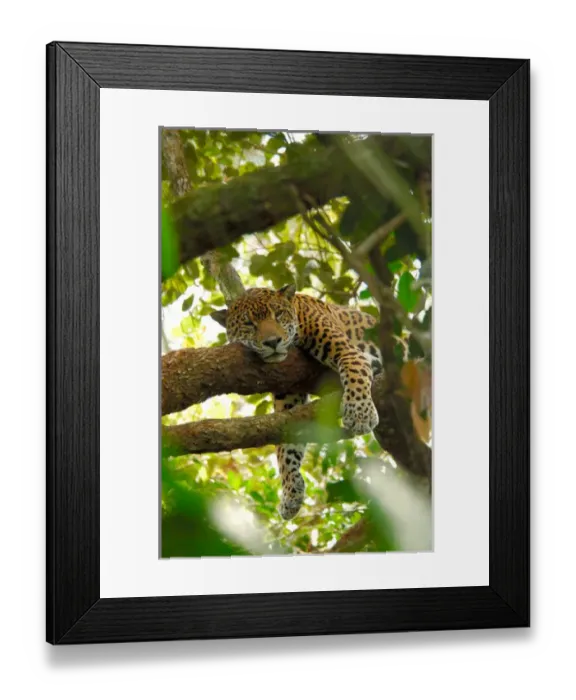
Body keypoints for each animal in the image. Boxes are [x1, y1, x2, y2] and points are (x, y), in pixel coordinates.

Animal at [211, 284, 383, 521]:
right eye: (248, 323)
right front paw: (291, 491)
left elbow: (355, 373)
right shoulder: (288, 394)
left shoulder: (350, 352)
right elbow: (286, 448)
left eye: (278, 314)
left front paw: (360, 414)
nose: (272, 342)